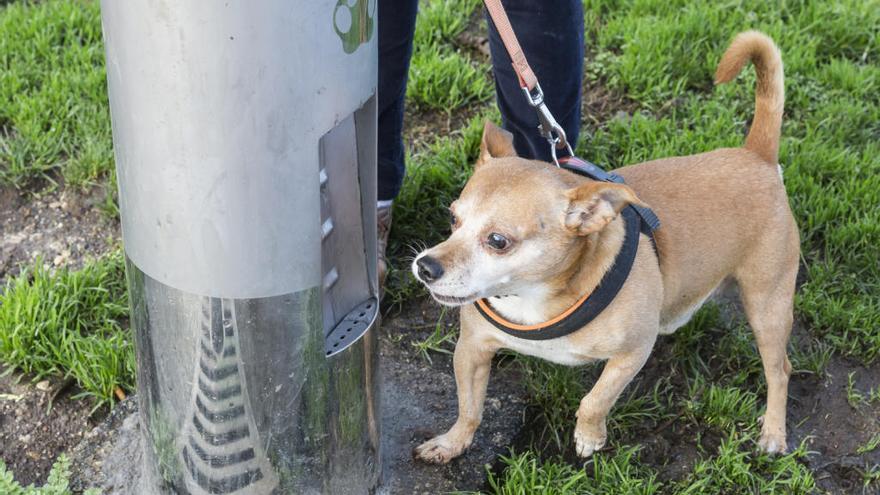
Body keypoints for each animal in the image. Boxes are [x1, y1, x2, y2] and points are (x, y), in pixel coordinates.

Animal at [412, 32, 796, 464]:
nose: (425, 266)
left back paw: (773, 432)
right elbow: (469, 408)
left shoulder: (632, 353)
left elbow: (593, 401)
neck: (534, 299)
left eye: (498, 241)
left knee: (780, 369)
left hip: (768, 306)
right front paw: (451, 443)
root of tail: (756, 155)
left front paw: (589, 437)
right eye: (453, 219)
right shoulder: (471, 351)